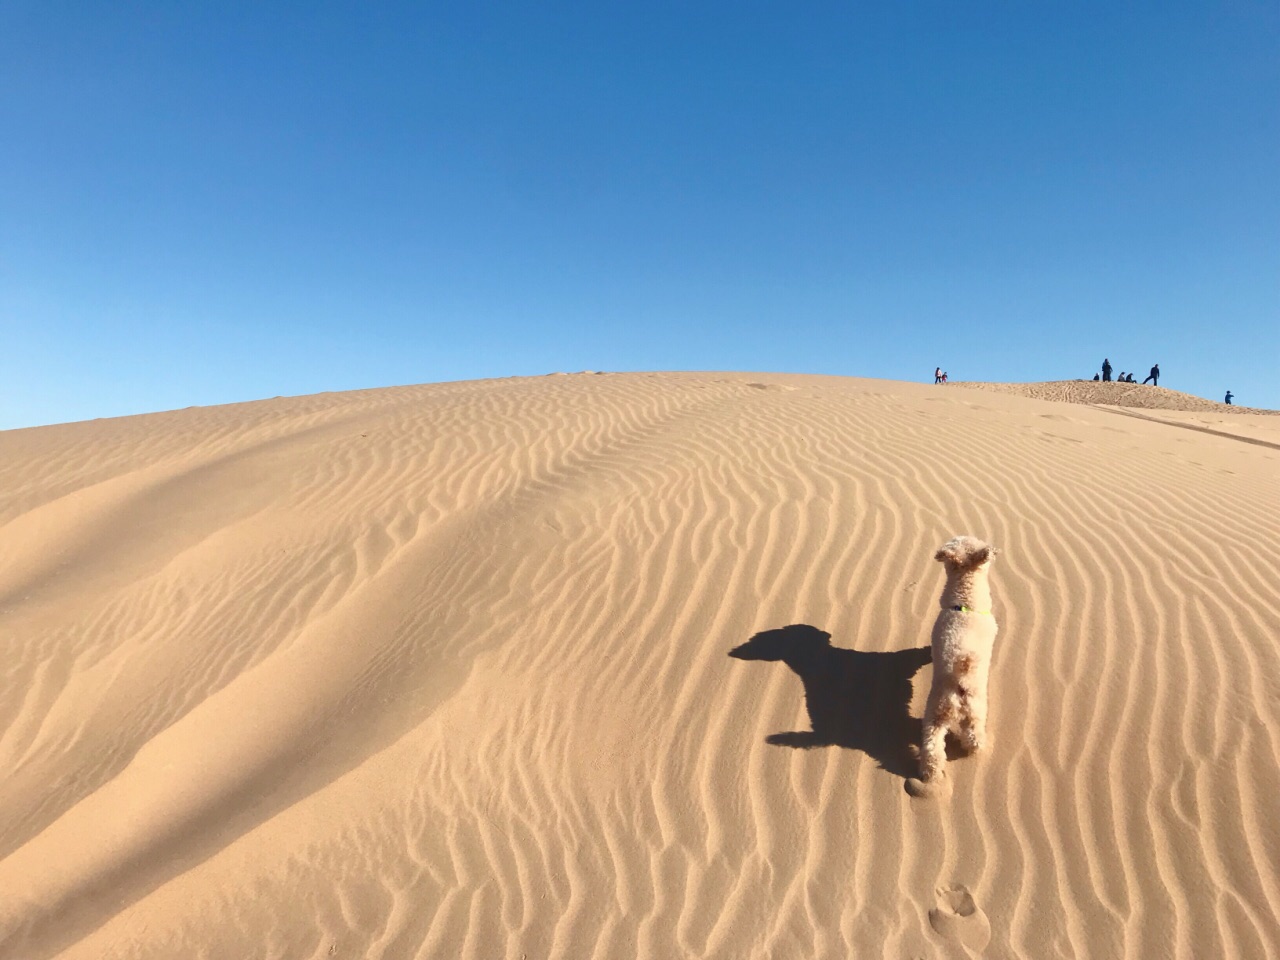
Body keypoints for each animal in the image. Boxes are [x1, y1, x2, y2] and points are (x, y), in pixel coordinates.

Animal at [916, 537, 993, 783]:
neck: (964, 604)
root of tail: (960, 678)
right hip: (976, 710)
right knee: (975, 737)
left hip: (936, 714)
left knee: (933, 746)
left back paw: (930, 773)